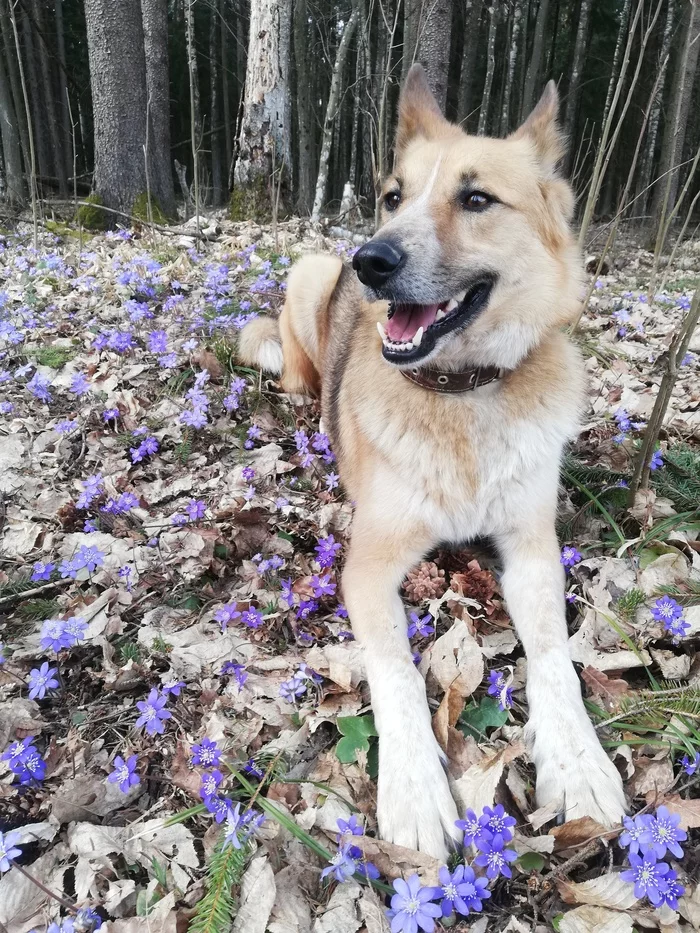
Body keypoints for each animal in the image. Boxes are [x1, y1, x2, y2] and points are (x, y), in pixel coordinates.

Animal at [239, 63, 624, 860]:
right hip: (308, 273)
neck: (462, 393)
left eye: (476, 199)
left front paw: (579, 760)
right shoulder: (368, 569)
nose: (373, 260)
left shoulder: (532, 551)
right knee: (295, 370)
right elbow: (394, 673)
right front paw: (415, 788)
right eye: (394, 195)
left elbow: (555, 655)